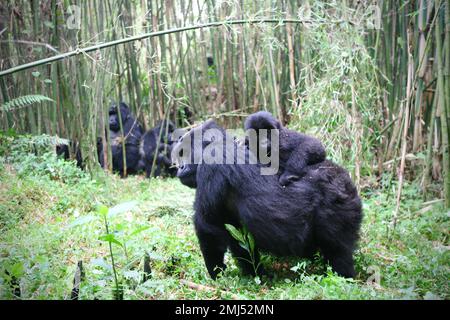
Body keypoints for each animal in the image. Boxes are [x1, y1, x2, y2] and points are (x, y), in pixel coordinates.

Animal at [171, 120, 362, 280]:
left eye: (185, 152)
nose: (180, 168)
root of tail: (347, 182)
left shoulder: (212, 162)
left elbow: (207, 226)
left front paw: (216, 275)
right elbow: (239, 240)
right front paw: (255, 274)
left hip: (340, 207)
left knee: (338, 252)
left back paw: (344, 276)